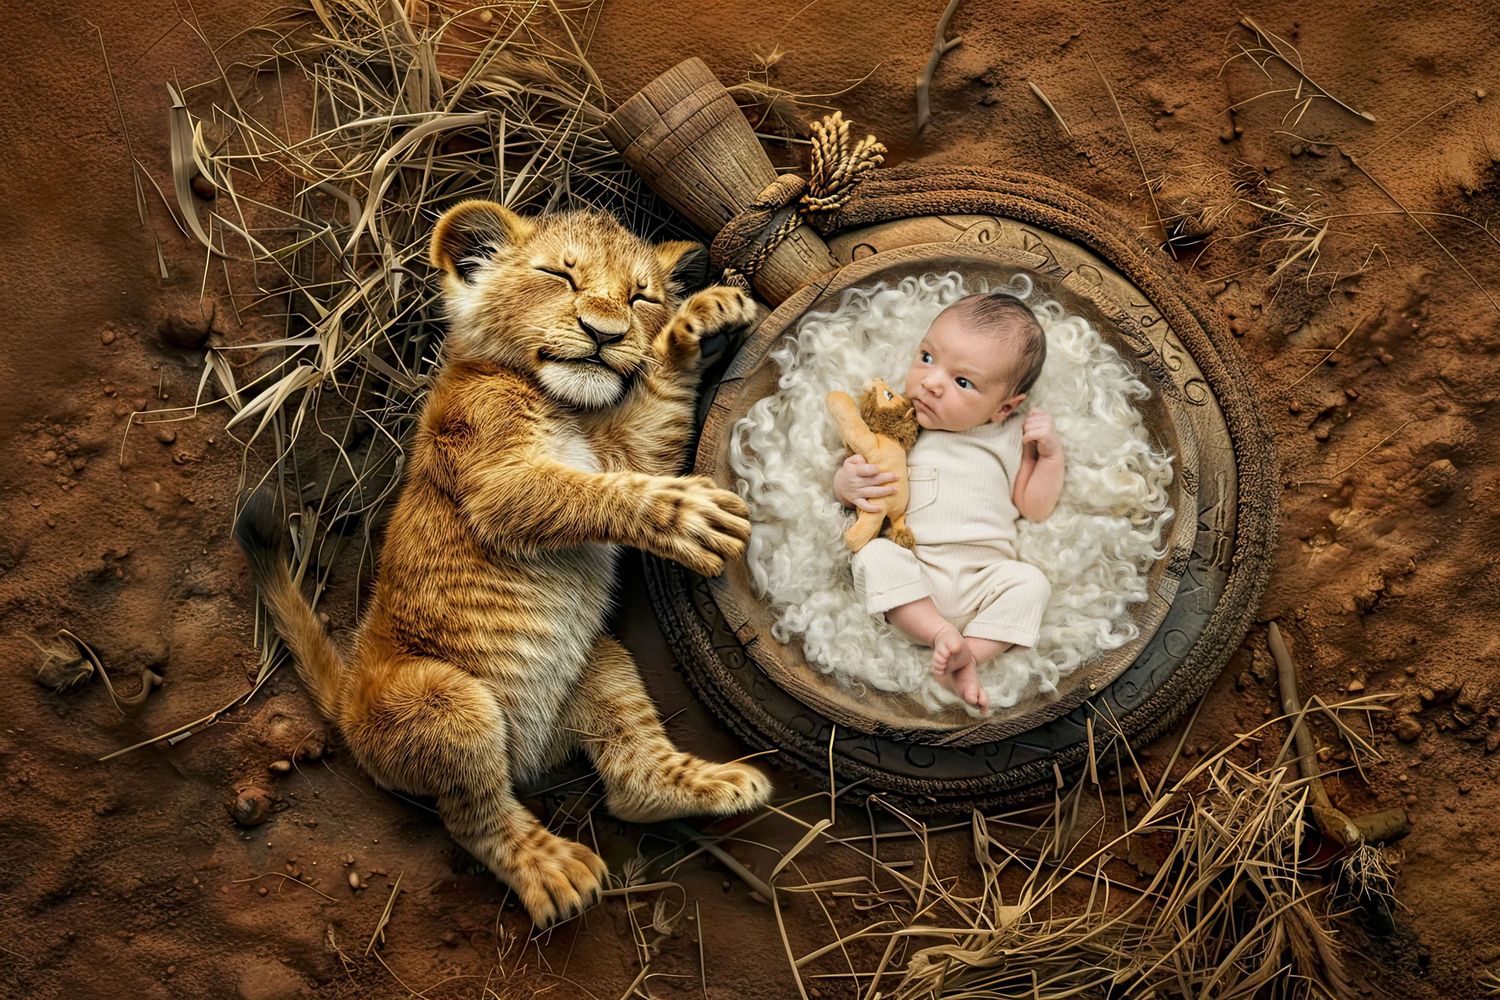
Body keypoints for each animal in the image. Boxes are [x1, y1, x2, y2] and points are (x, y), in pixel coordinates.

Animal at [235, 200, 772, 927]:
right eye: (558, 276)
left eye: (641, 296)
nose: (604, 332)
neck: (561, 402)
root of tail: (347, 706)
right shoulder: (494, 474)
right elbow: (592, 494)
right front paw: (688, 515)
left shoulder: (624, 446)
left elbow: (654, 415)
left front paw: (703, 321)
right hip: (445, 701)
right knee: (474, 813)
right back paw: (552, 871)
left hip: (597, 661)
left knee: (628, 773)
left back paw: (711, 785)